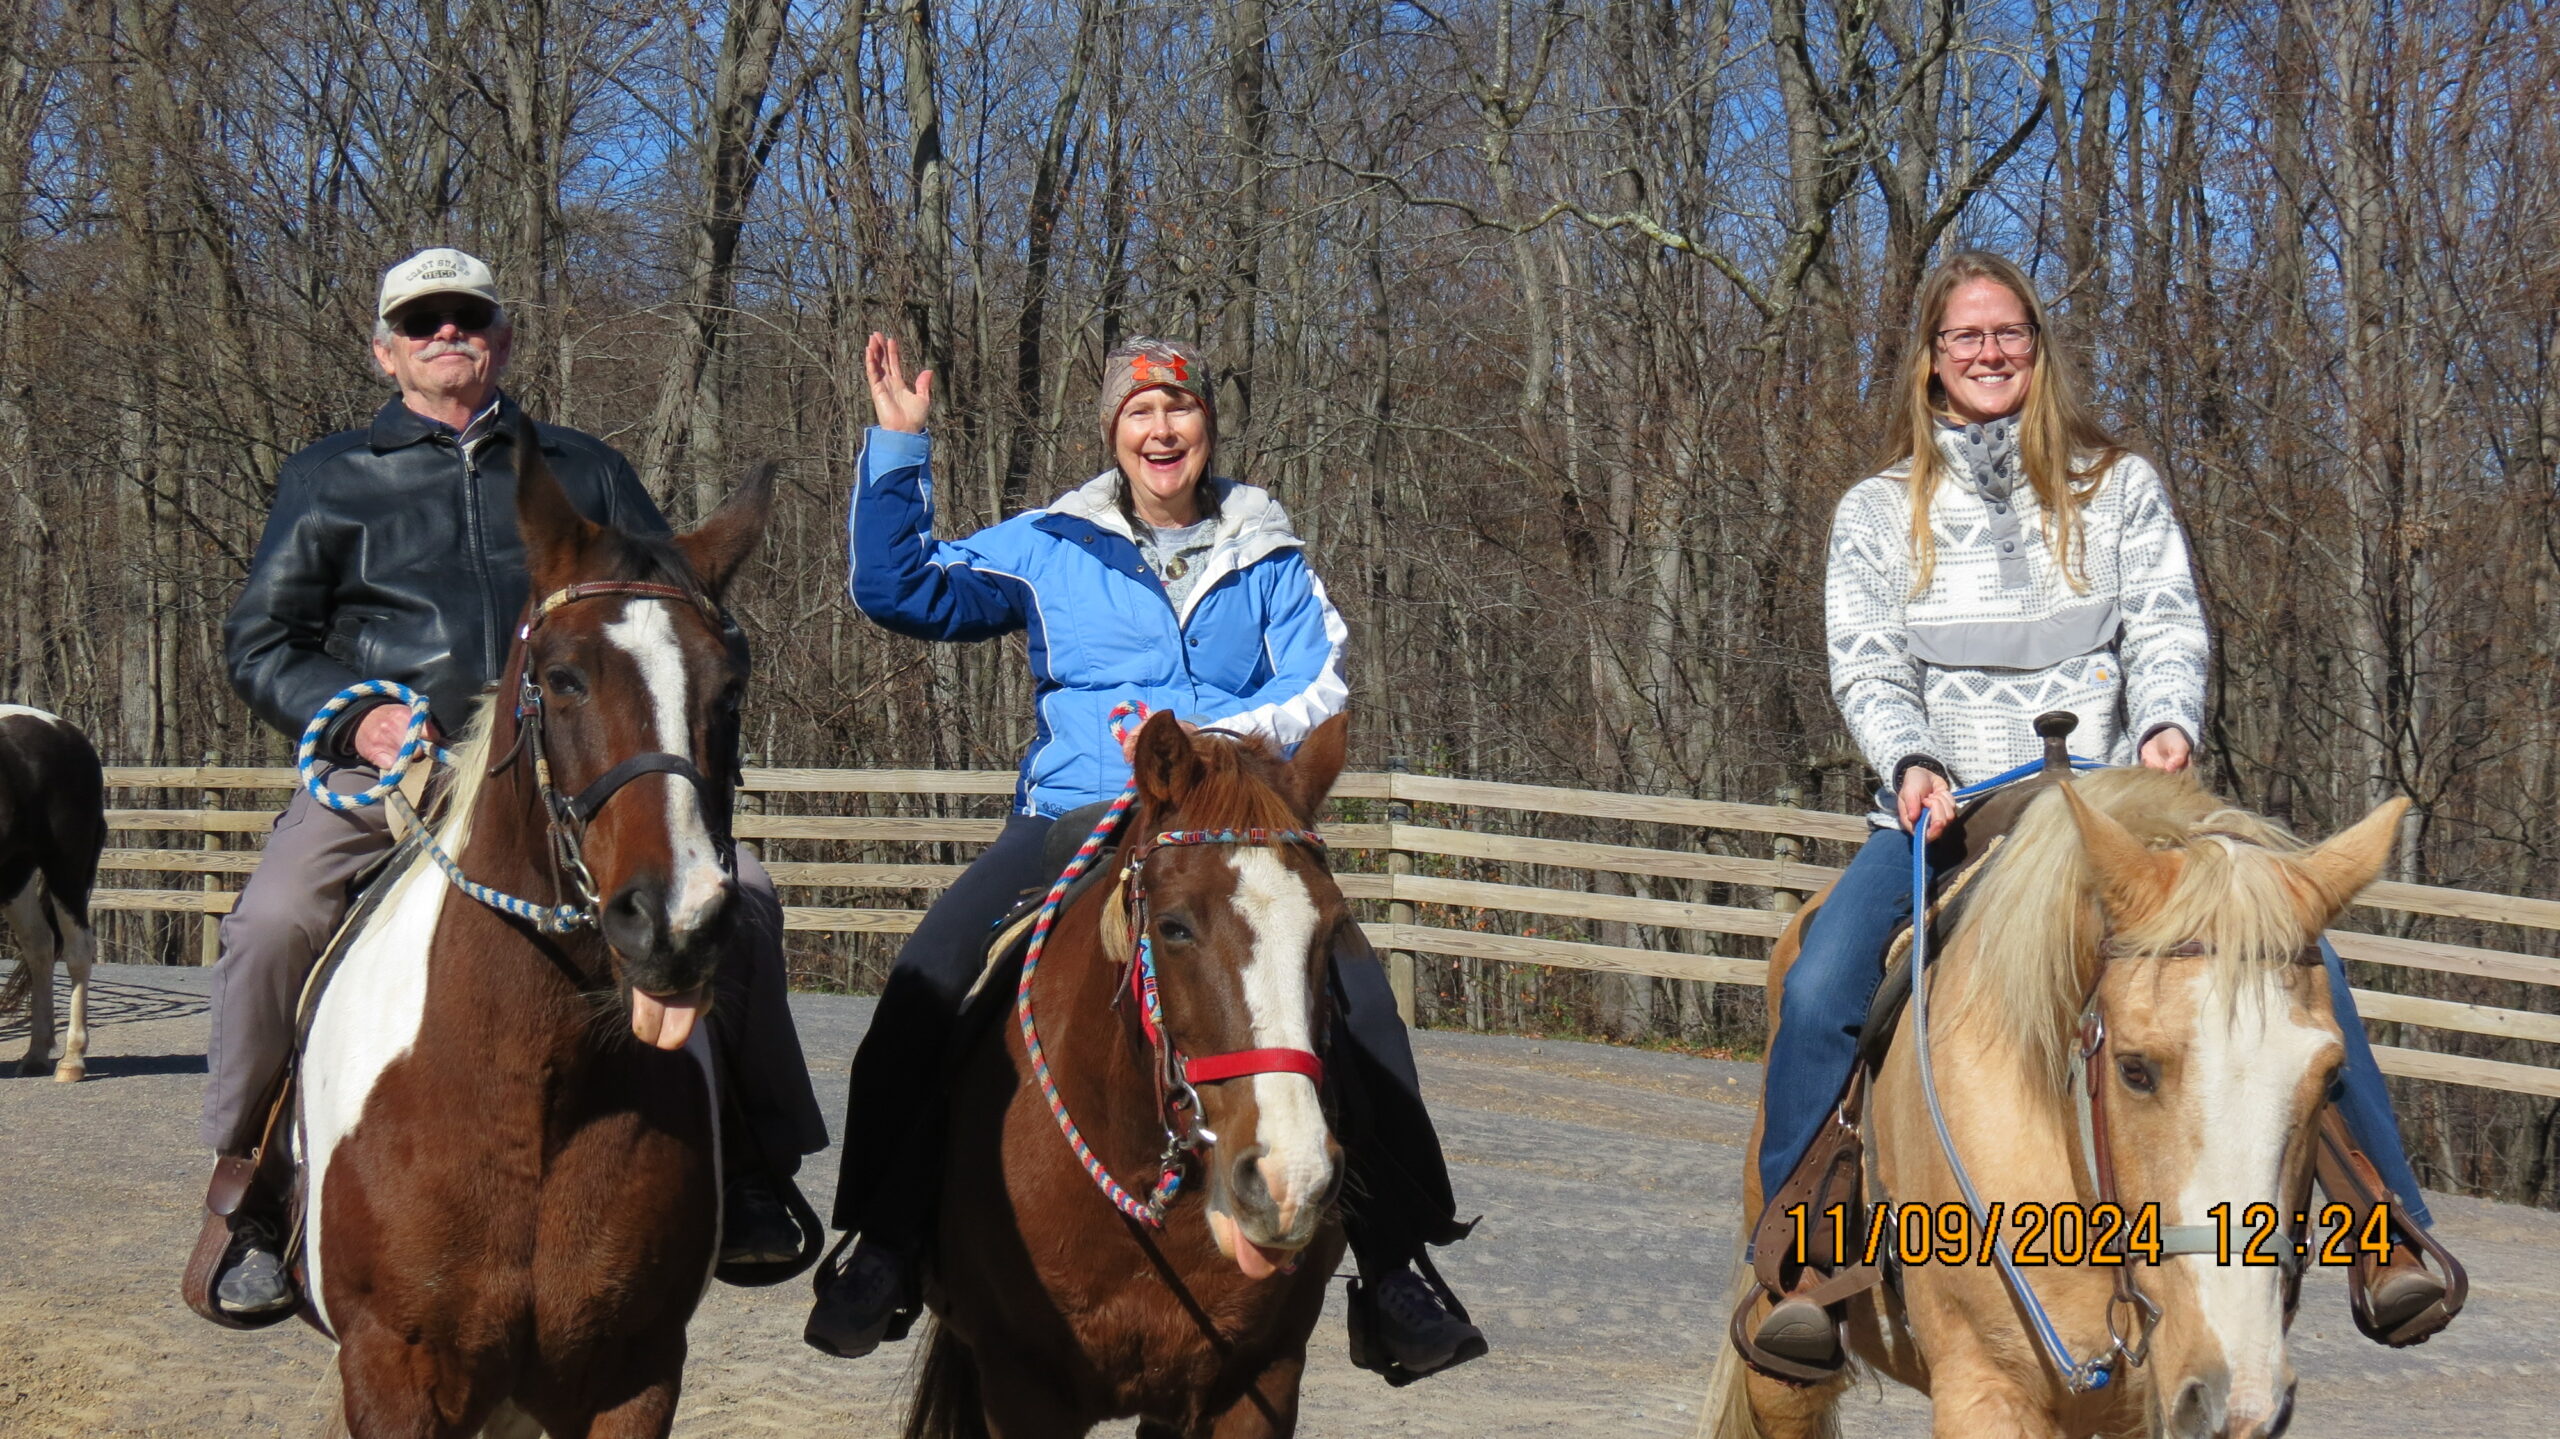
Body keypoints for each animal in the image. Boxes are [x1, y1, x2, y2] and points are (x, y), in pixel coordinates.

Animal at [0, 706, 104, 1075]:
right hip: (14, 874)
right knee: (39, 946)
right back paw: (35, 1054)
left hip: (66, 868)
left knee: (77, 951)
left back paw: (72, 1059)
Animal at [293, 430, 762, 1433]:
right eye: (562, 677)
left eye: (730, 689)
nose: (675, 920)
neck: (533, 1082)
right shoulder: (390, 1369)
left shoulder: (634, 1370)